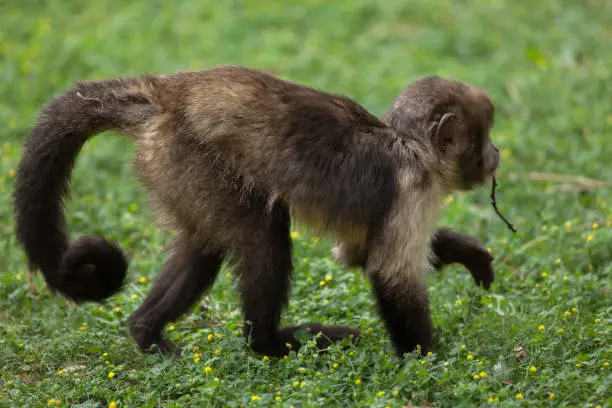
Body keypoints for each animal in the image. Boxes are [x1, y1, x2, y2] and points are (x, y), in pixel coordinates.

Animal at [10, 65, 498, 358]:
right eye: (482, 138)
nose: (495, 153)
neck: (410, 147)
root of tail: (165, 95)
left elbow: (356, 253)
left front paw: (467, 253)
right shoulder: (411, 188)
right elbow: (388, 271)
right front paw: (425, 359)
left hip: (175, 167)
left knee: (203, 248)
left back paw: (146, 332)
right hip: (193, 156)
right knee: (264, 236)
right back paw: (267, 344)